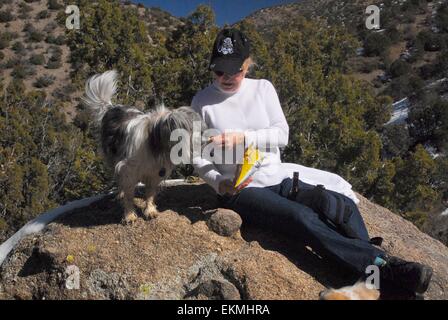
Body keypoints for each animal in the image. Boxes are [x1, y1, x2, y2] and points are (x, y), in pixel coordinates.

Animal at [83, 71, 201, 224]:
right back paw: (120, 193)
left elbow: (150, 194)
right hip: (112, 157)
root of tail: (111, 108)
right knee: (118, 178)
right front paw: (129, 215)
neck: (154, 143)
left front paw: (149, 210)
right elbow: (129, 195)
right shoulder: (128, 170)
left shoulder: (155, 172)